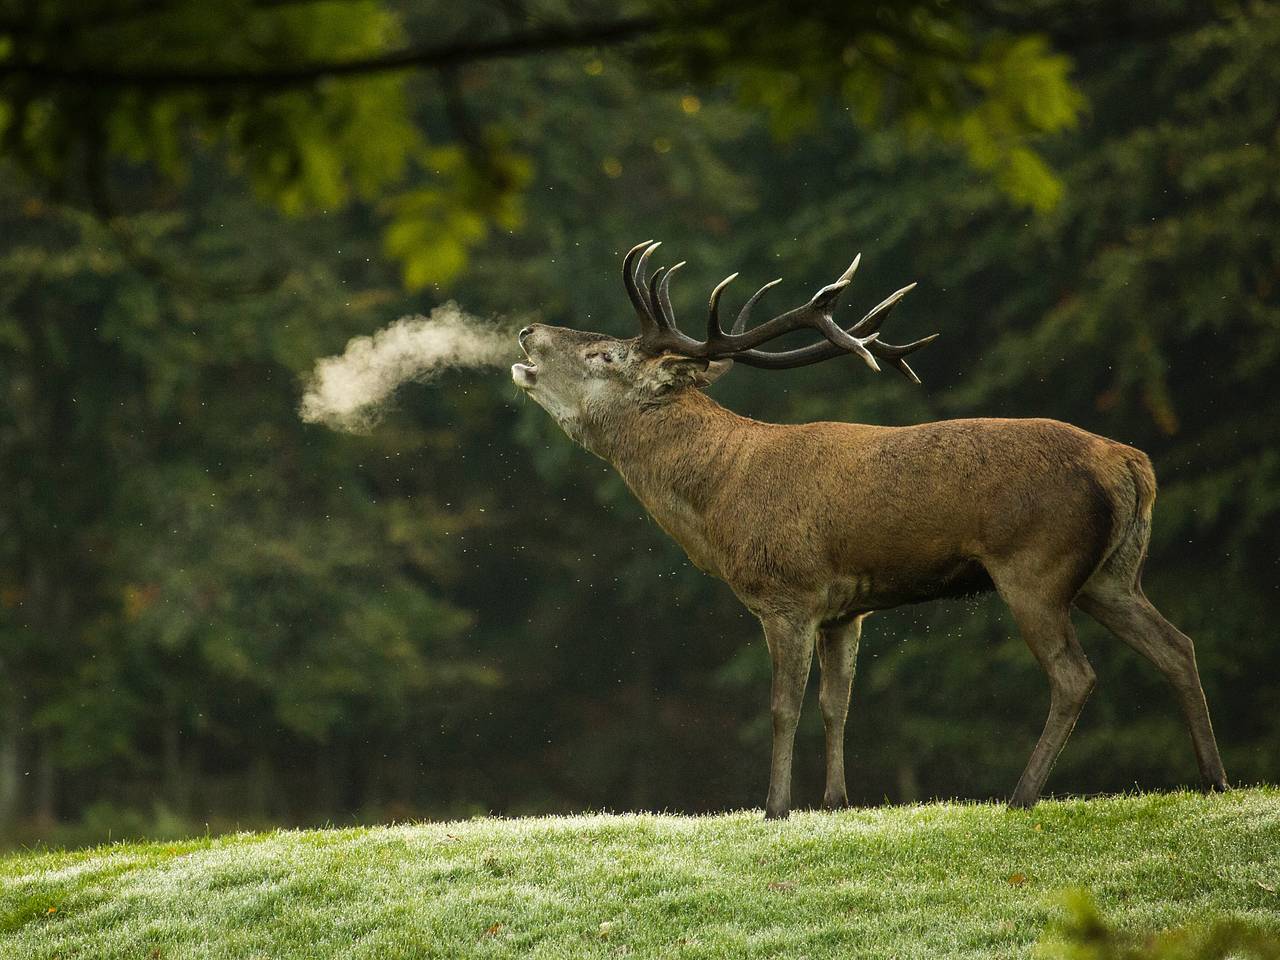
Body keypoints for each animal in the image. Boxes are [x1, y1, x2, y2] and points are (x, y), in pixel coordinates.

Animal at [509, 240, 1228, 819]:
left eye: (605, 353)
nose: (526, 332)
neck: (722, 503)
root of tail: (1132, 464)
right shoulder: (846, 608)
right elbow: (838, 703)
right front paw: (836, 801)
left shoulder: (789, 593)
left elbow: (784, 706)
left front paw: (775, 808)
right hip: (1112, 574)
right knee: (1177, 645)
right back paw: (1214, 779)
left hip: (1037, 566)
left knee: (1075, 676)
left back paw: (1020, 797)